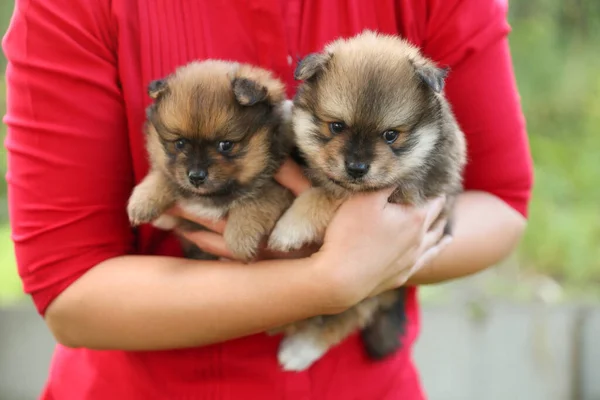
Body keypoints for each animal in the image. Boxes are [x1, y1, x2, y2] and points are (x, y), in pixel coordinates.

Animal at [127, 60, 294, 262]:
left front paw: (240, 237)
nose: (196, 177)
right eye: (180, 143)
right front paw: (143, 200)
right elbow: (167, 176)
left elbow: (260, 198)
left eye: (226, 145)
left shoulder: (280, 188)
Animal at [268, 32, 468, 372]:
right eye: (337, 126)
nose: (357, 168)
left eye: (390, 135)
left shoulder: (399, 190)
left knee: (349, 316)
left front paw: (290, 228)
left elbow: (326, 193)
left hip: (369, 288)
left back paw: (301, 347)